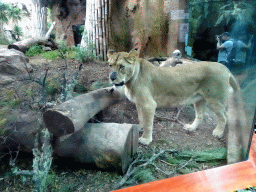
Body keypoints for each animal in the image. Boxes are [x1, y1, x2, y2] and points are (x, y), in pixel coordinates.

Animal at [107, 50, 240, 145]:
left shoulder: (148, 104)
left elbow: (148, 123)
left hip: (215, 100)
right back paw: (191, 127)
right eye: (110, 65)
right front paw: (139, 127)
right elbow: (141, 118)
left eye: (121, 66)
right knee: (200, 115)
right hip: (199, 99)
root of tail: (226, 68)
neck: (130, 81)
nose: (112, 77)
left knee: (224, 116)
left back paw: (218, 132)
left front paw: (146, 139)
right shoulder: (139, 103)